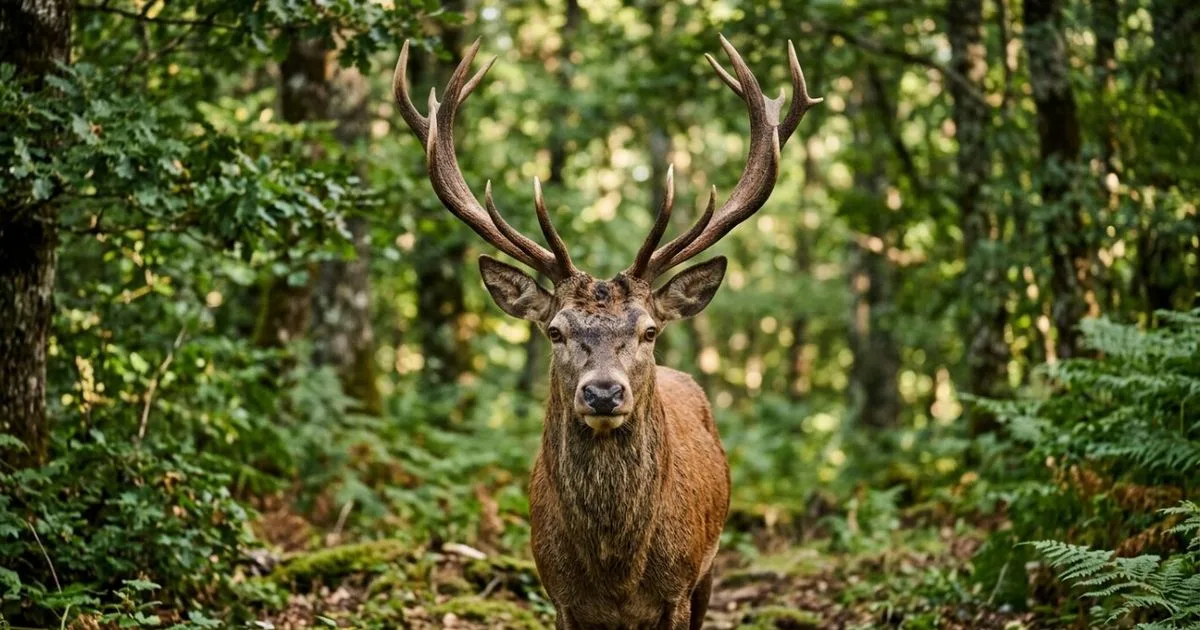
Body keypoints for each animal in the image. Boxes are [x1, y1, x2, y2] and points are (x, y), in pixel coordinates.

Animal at [392, 34, 821, 630]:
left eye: (649, 330)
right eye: (554, 331)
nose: (601, 392)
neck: (616, 570)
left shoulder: (678, 589)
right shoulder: (560, 594)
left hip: (711, 565)